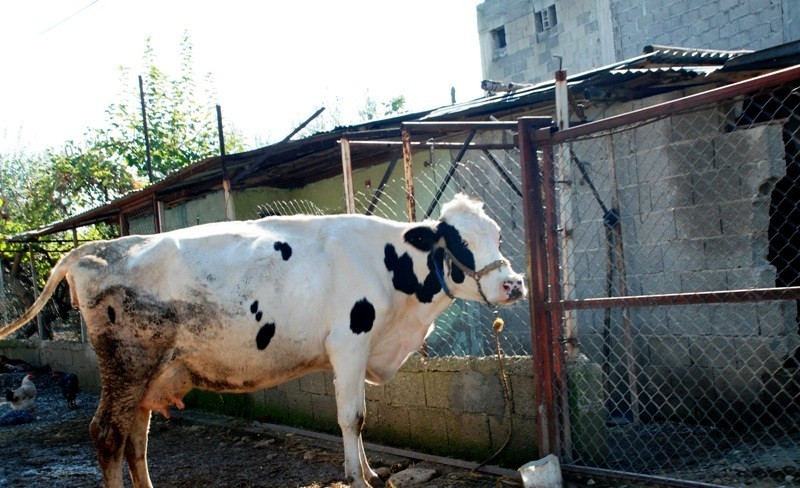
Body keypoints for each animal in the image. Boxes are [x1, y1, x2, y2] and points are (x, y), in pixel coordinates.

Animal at [0, 193, 524, 488]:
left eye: (498, 234)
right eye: (457, 243)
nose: (513, 284)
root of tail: (93, 250)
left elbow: (359, 421)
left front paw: (370, 471)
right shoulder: (350, 344)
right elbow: (352, 419)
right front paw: (360, 478)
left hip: (148, 373)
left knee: (135, 436)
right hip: (127, 363)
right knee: (108, 434)